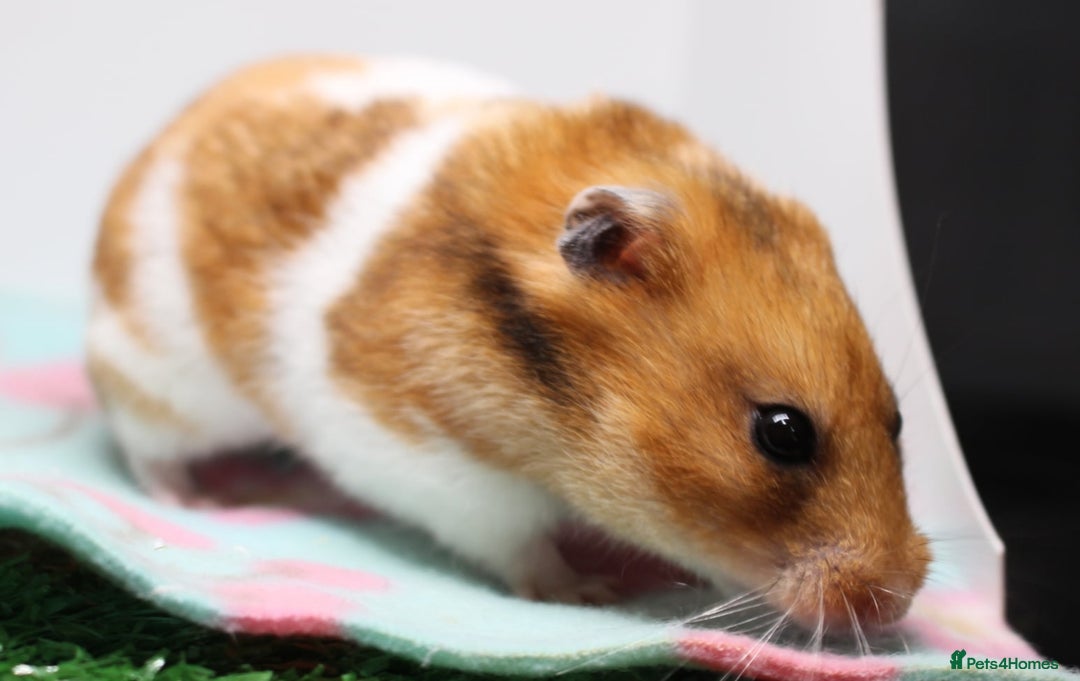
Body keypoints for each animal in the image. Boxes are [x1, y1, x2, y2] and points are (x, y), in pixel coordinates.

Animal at [86, 55, 930, 630]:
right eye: (782, 431)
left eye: (897, 419)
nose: (898, 602)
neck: (555, 415)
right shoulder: (437, 465)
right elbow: (517, 543)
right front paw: (585, 592)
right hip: (162, 382)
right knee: (139, 440)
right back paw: (203, 498)